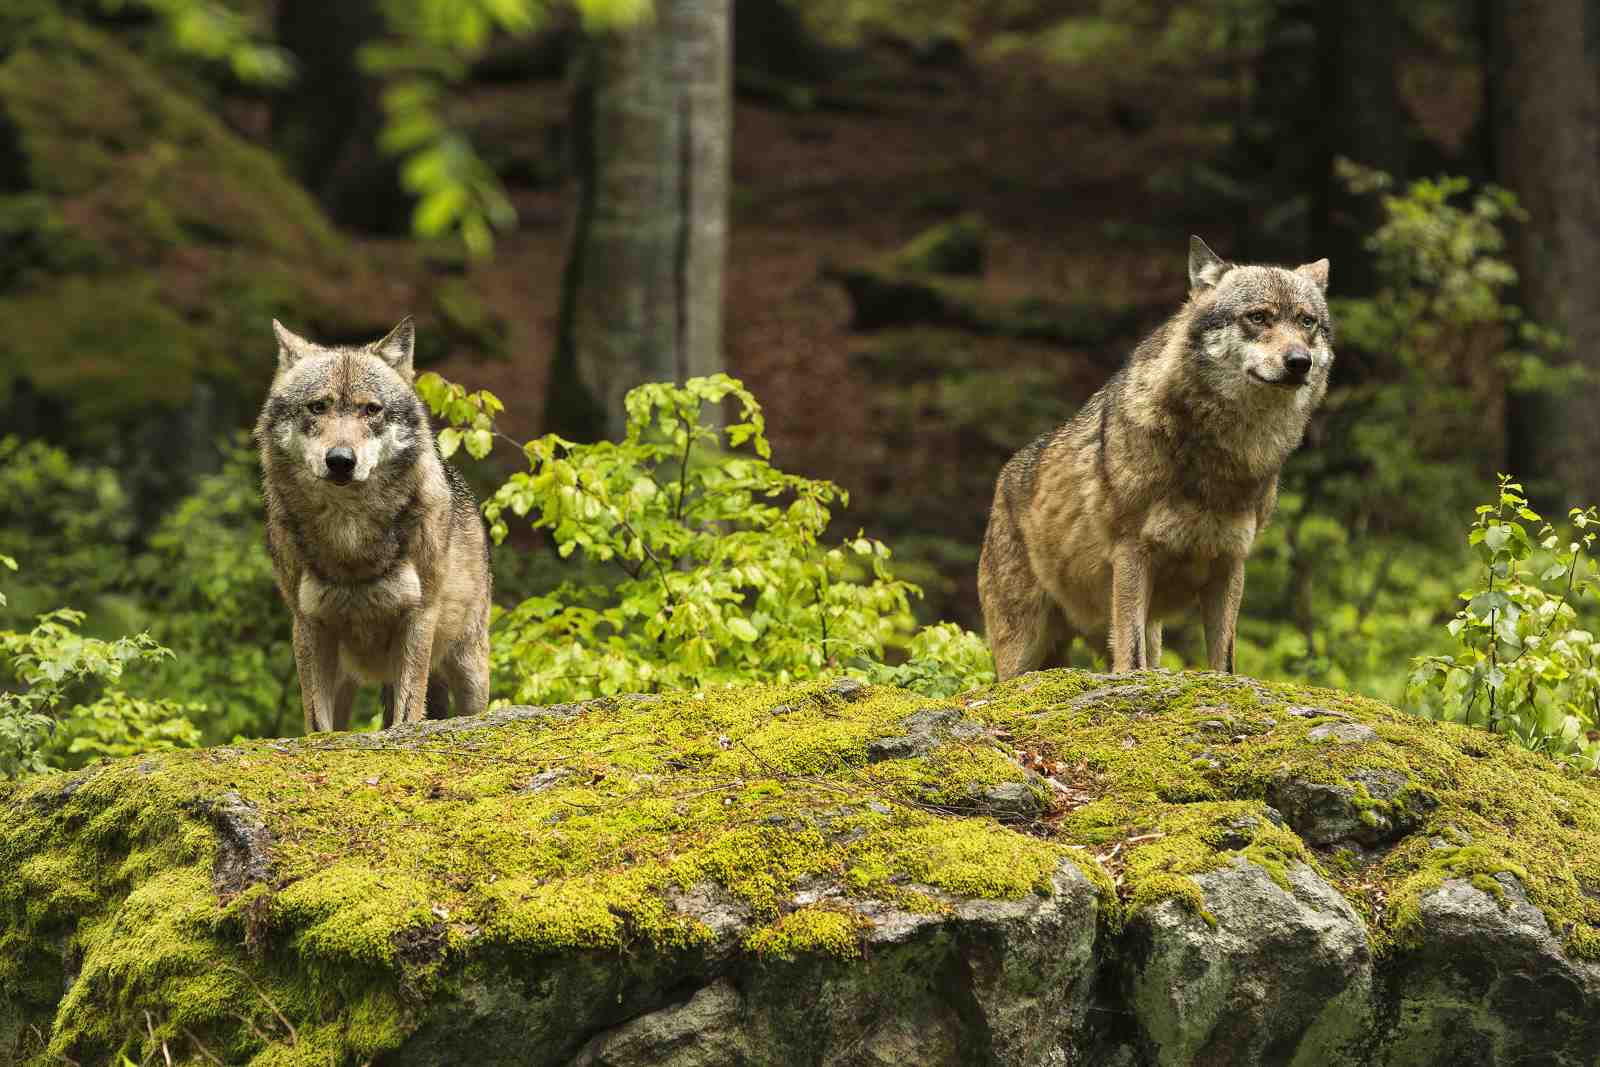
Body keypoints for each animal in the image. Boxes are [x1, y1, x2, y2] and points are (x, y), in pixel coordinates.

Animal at [257, 317, 492, 732]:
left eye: (371, 409)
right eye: (318, 406)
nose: (340, 460)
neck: (349, 533)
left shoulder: (419, 617)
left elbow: (407, 713)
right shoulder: (308, 623)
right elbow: (318, 724)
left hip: (469, 669)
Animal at [978, 236, 1333, 678]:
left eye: (1307, 322)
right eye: (1258, 317)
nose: (1300, 362)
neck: (1221, 458)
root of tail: (1002, 478)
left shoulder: (1230, 565)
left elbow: (1224, 663)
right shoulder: (1132, 555)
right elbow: (1131, 661)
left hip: (1146, 632)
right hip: (1023, 653)